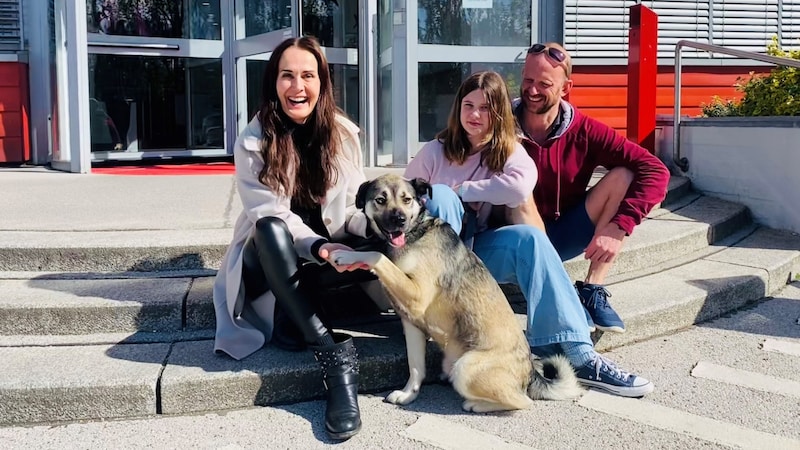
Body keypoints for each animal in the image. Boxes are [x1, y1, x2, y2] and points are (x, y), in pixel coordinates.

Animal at [332, 174, 580, 414]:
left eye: (407, 199)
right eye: (380, 200)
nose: (400, 220)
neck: (414, 234)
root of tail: (530, 371)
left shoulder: (418, 295)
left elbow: (377, 255)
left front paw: (348, 256)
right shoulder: (411, 324)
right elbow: (415, 366)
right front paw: (409, 394)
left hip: (465, 368)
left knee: (522, 401)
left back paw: (476, 405)